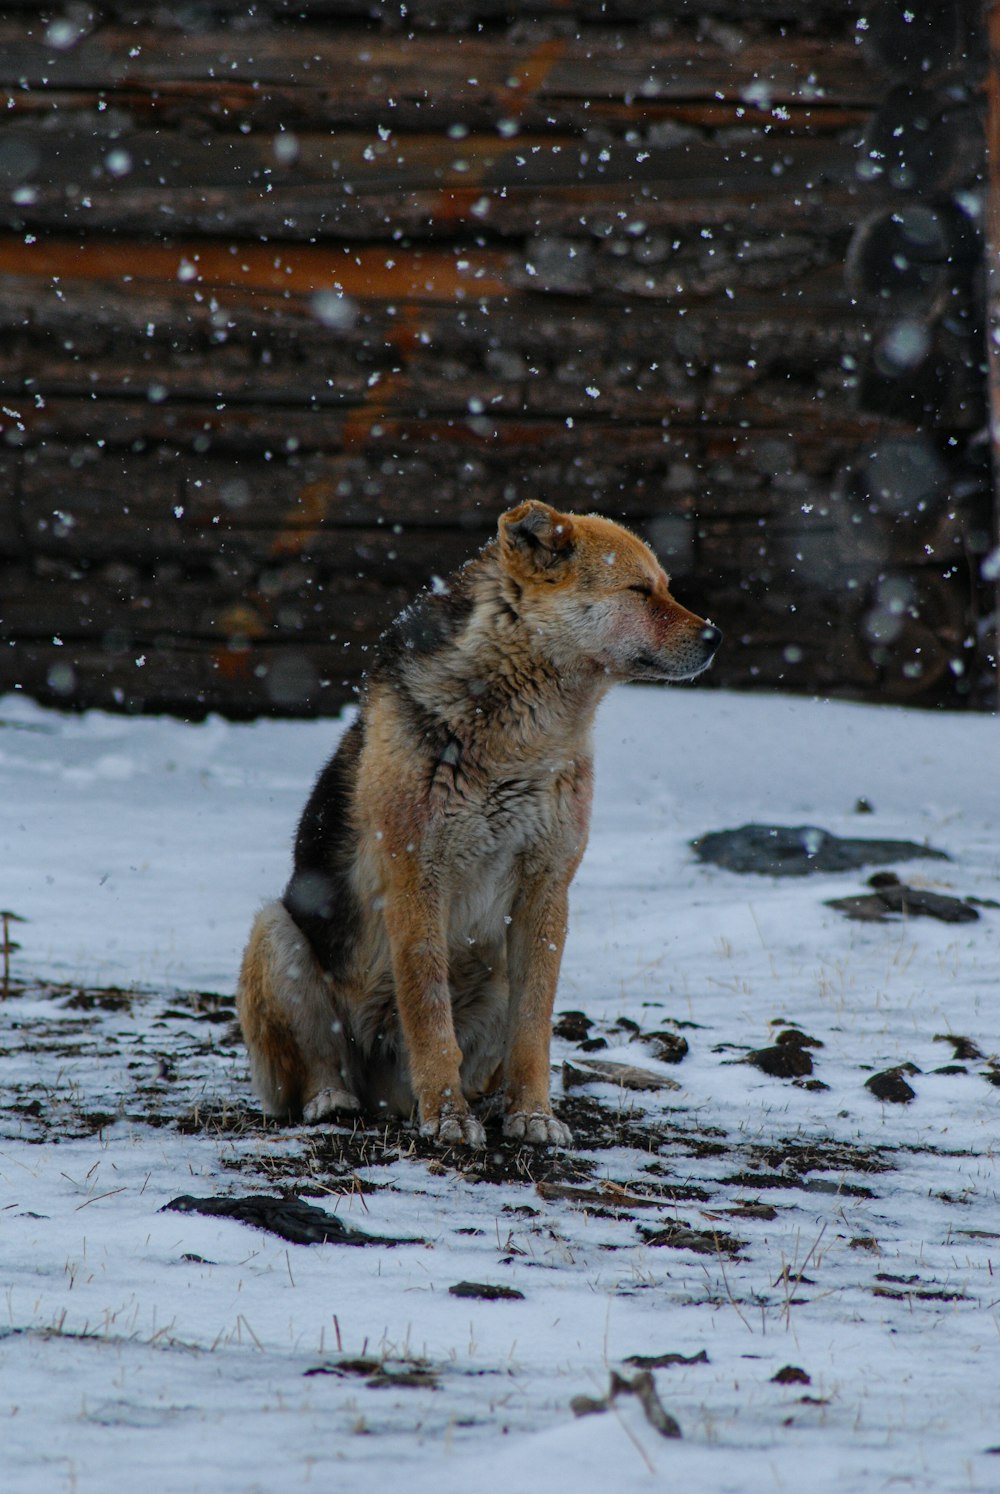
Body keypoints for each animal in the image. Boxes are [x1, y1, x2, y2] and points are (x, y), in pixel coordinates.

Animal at [234, 501, 717, 1141]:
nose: (716, 637)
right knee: (321, 1066)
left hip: (499, 972)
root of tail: (386, 1098)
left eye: (666, 588)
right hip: (275, 933)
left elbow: (533, 1031)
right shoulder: (417, 881)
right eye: (639, 591)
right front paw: (447, 1118)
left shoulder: (547, 891)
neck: (522, 737)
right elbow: (428, 1014)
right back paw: (337, 1101)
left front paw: (533, 1115)